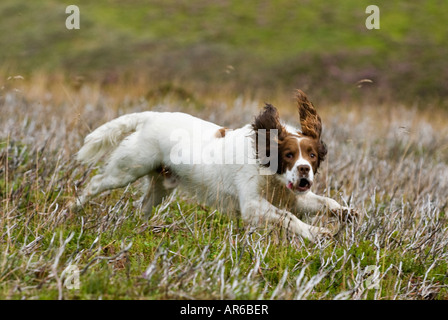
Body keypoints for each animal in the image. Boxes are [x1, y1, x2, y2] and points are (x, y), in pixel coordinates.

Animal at [72, 89, 354, 240]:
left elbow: (325, 202)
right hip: (127, 169)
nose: (304, 169)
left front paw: (345, 212)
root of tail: (151, 116)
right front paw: (317, 233)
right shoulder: (252, 205)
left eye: (312, 155)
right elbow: (288, 218)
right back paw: (72, 209)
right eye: (288, 155)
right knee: (95, 184)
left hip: (161, 184)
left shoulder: (293, 198)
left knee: (144, 206)